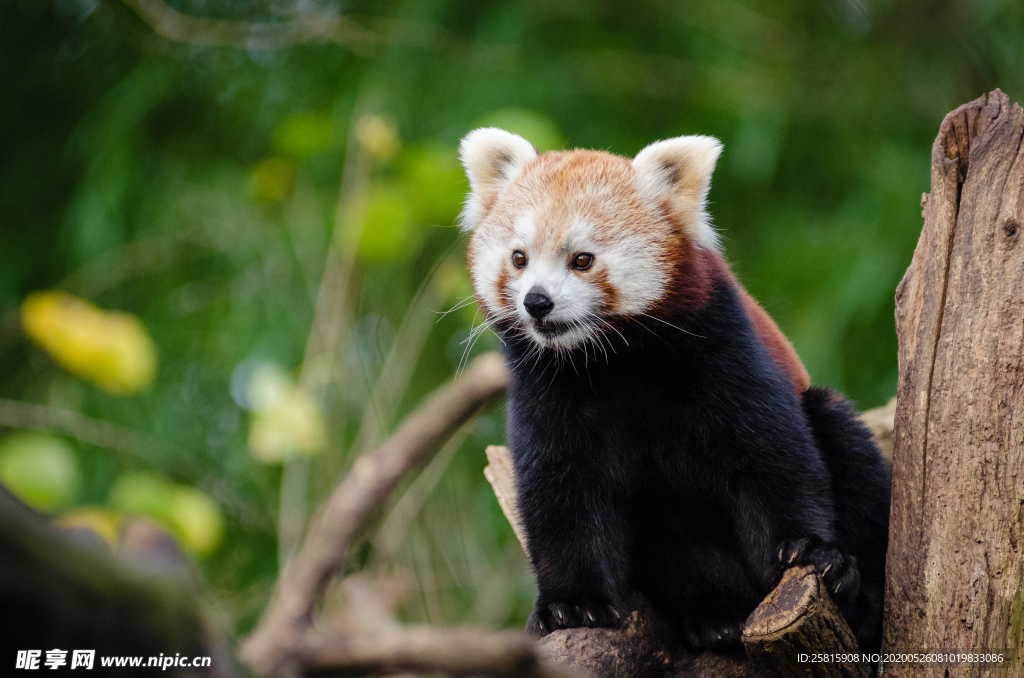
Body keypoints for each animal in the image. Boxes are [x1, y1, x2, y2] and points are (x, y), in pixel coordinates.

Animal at [460, 125, 892, 655]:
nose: (537, 302)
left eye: (582, 260)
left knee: (843, 440)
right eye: (519, 258)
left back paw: (857, 595)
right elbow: (561, 494)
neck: (611, 363)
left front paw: (810, 550)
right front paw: (571, 604)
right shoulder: (547, 392)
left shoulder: (721, 345)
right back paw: (712, 615)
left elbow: (773, 458)